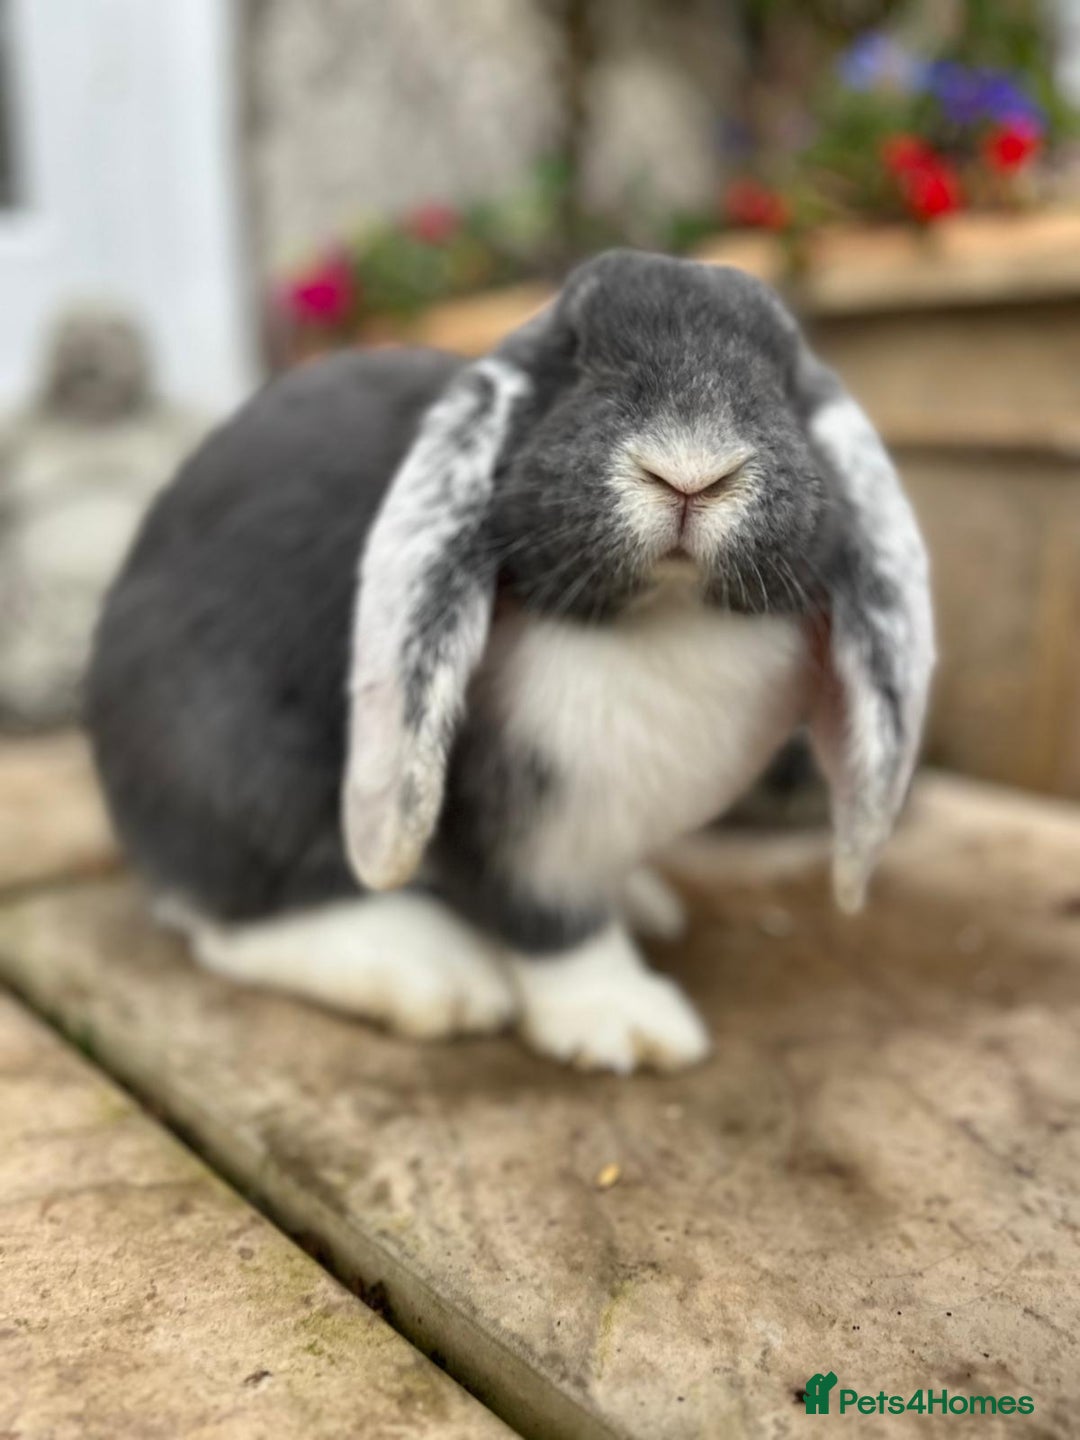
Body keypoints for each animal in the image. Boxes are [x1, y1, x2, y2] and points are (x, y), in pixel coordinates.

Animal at [86, 250, 934, 1073]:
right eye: (575, 356)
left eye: (783, 376)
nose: (691, 471)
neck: (664, 615)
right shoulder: (527, 833)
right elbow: (553, 924)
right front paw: (626, 1026)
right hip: (241, 777)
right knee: (240, 918)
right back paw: (439, 978)